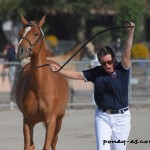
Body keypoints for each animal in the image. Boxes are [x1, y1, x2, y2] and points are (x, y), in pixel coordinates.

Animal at [14, 14, 69, 150]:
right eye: (20, 33)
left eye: (36, 33)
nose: (20, 50)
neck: (39, 87)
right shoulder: (27, 122)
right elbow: (28, 146)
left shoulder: (51, 120)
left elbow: (47, 145)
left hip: (59, 119)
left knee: (54, 140)